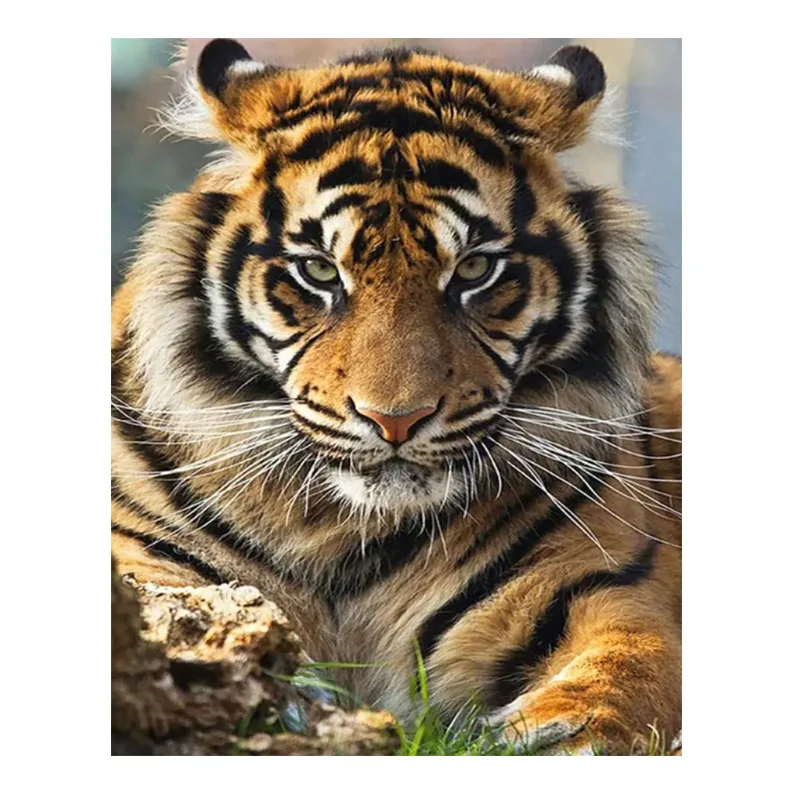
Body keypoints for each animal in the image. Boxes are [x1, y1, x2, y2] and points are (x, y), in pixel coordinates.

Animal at [111, 39, 682, 755]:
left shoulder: (604, 586)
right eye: (319, 271)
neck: (342, 531)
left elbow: (630, 669)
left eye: (475, 269)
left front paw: (556, 734)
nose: (396, 420)